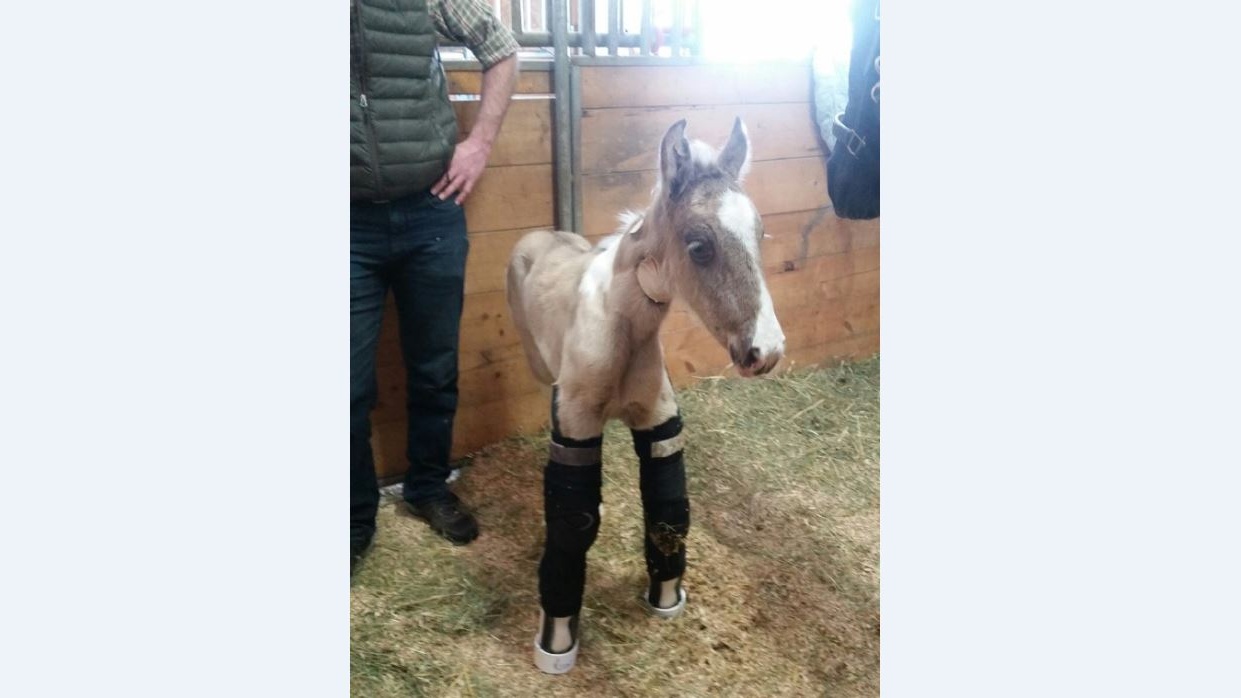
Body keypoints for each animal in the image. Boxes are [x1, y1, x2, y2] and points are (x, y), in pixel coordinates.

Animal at [506, 118, 785, 673]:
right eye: (698, 246)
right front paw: (556, 645)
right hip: (539, 365)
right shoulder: (575, 430)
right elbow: (573, 522)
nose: (765, 352)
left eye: (759, 234)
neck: (625, 329)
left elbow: (668, 510)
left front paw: (665, 601)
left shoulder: (659, 426)